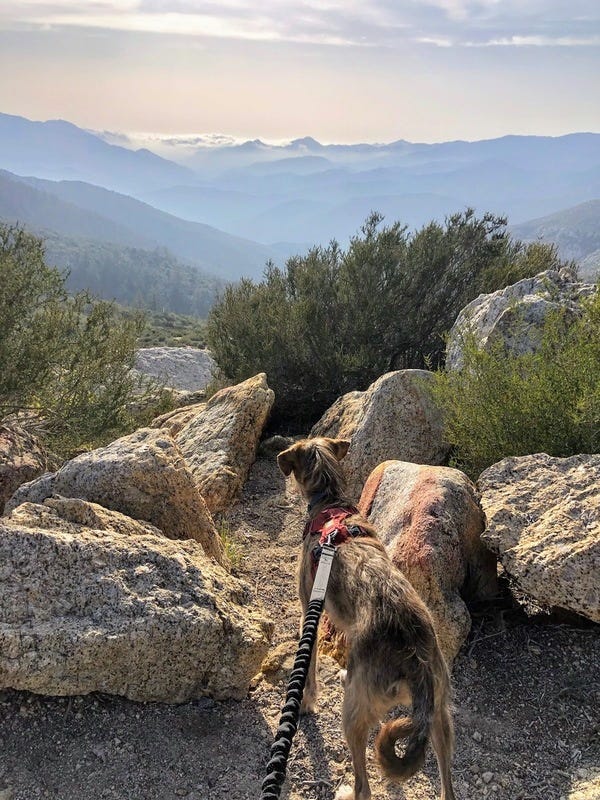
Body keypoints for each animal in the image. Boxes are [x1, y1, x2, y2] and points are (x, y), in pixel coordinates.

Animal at [278, 438, 458, 800]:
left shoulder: (310, 610)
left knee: (364, 786)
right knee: (449, 789)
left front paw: (306, 701)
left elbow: (310, 664)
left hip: (353, 713)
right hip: (441, 715)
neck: (331, 503)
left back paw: (348, 791)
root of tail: (415, 660)